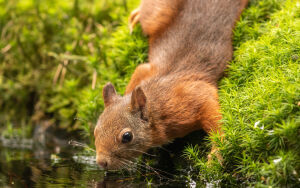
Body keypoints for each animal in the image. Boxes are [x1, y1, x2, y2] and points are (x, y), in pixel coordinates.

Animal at [94, 0, 248, 170]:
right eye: (95, 130)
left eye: (127, 136)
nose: (101, 162)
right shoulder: (146, 71)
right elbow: (140, 70)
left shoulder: (191, 96)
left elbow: (213, 115)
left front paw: (217, 152)